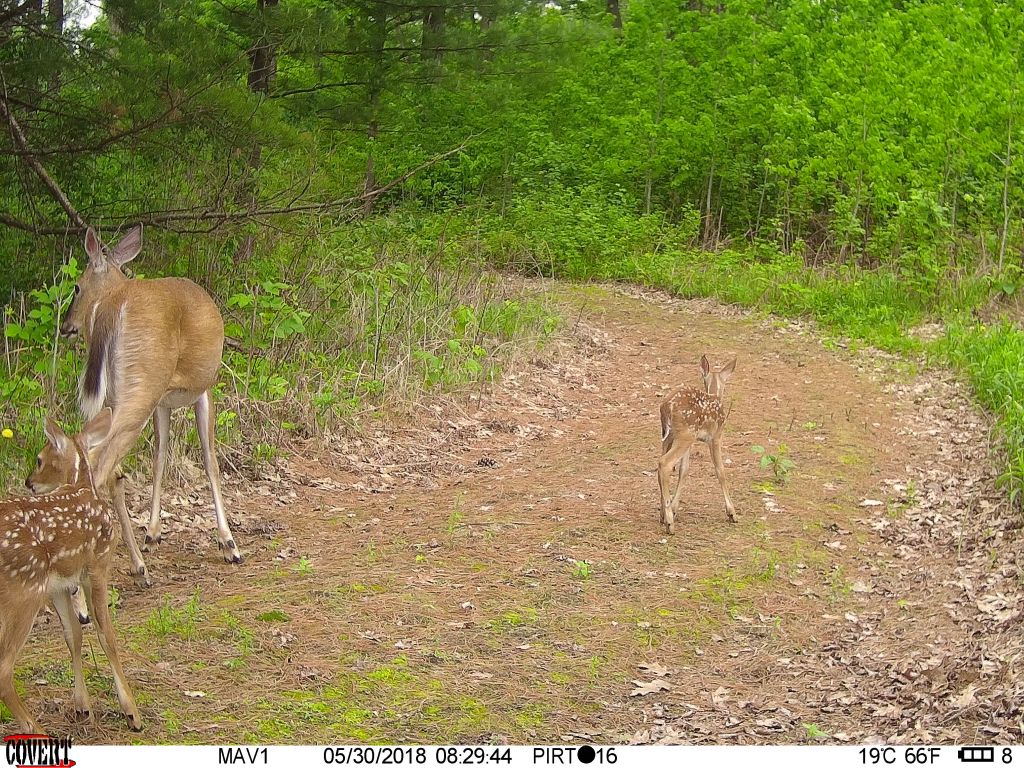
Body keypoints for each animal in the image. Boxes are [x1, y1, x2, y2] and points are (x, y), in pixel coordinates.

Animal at [0, 409, 142, 733]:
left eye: (39, 459)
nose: (29, 482)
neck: (81, 487)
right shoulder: (98, 565)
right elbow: (106, 635)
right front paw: (132, 713)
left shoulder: (61, 584)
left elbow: (73, 635)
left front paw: (82, 708)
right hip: (23, 592)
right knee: (3, 668)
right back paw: (37, 731)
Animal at [61, 225, 241, 585]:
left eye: (77, 286)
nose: (66, 326)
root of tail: (114, 305)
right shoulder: (203, 389)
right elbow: (210, 460)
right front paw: (228, 543)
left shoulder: (164, 400)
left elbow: (160, 456)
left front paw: (153, 532)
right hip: (142, 384)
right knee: (99, 464)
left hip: (122, 393)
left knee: (100, 462)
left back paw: (133, 564)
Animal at [659, 356, 741, 532]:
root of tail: (666, 406)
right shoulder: (716, 436)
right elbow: (720, 470)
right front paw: (732, 513)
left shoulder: (692, 441)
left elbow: (684, 470)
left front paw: (674, 508)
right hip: (685, 434)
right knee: (664, 463)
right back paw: (669, 523)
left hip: (671, 436)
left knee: (660, 464)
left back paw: (663, 514)